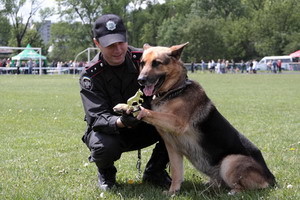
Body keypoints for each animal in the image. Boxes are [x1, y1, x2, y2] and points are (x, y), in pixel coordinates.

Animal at [115, 43, 276, 195]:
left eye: (156, 63)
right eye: (142, 63)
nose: (141, 80)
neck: (174, 91)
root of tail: (271, 177)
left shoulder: (176, 122)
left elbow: (151, 112)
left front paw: (138, 111)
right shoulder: (172, 148)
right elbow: (177, 172)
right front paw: (173, 191)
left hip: (229, 162)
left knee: (248, 188)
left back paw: (233, 192)